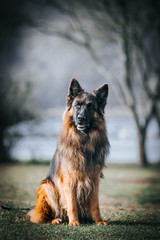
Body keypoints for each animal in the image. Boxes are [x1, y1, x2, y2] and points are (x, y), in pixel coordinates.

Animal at [28, 78, 109, 225]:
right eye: (77, 105)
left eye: (90, 106)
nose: (81, 118)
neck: (83, 142)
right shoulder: (69, 179)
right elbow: (71, 203)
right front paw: (74, 222)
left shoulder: (94, 179)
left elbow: (95, 204)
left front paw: (99, 220)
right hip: (47, 186)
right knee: (45, 215)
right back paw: (56, 219)